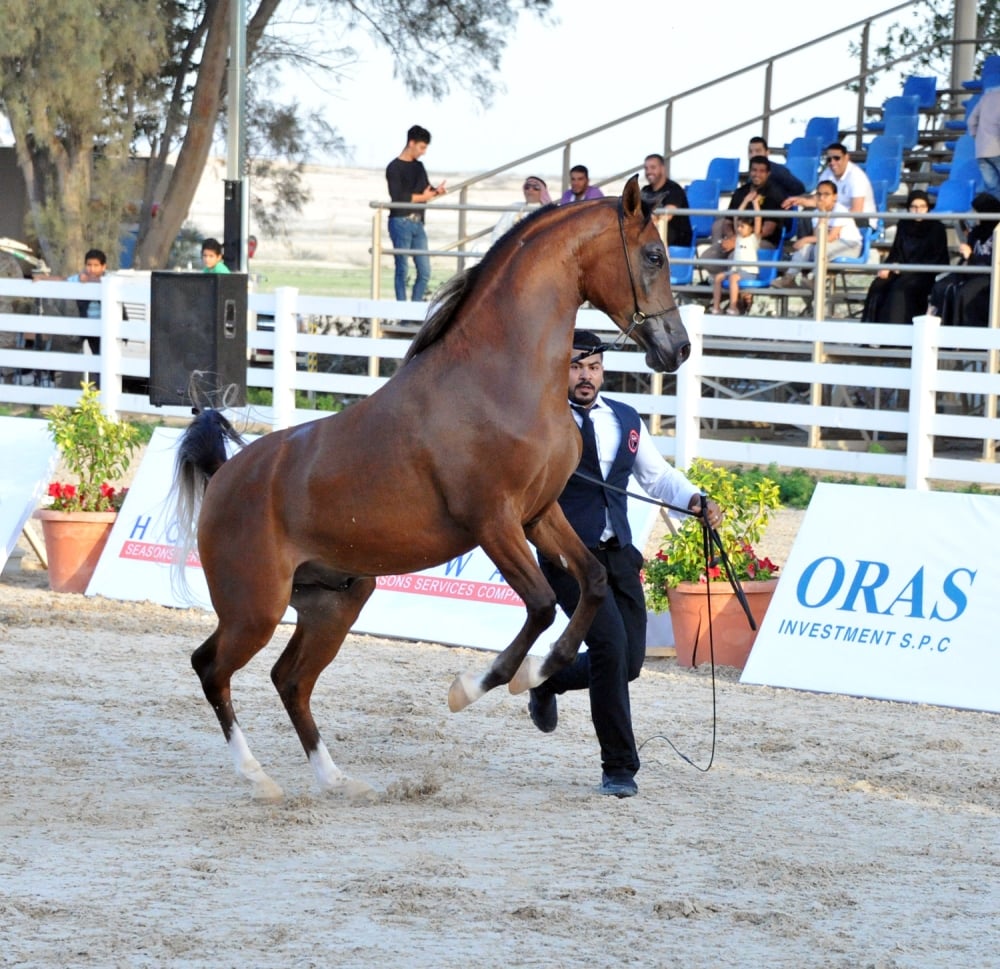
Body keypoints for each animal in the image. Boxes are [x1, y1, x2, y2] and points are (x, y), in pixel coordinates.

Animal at [172, 176, 688, 800]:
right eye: (654, 256)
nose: (678, 348)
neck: (498, 378)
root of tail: (225, 475)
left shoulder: (539, 514)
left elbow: (590, 582)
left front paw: (538, 677)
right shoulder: (493, 521)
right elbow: (542, 604)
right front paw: (476, 686)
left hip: (333, 603)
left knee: (289, 679)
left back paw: (337, 778)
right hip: (255, 610)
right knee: (211, 668)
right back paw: (258, 776)